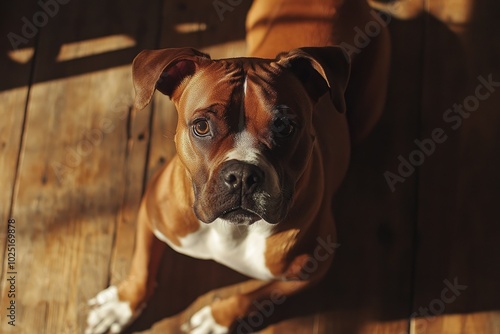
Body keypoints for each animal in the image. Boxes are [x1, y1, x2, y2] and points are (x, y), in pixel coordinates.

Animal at [86, 0, 390, 334]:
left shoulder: (310, 269)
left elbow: (253, 296)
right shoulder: (151, 212)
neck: (232, 230)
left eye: (284, 126)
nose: (243, 175)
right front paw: (122, 305)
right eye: (201, 126)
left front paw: (216, 320)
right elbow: (141, 264)